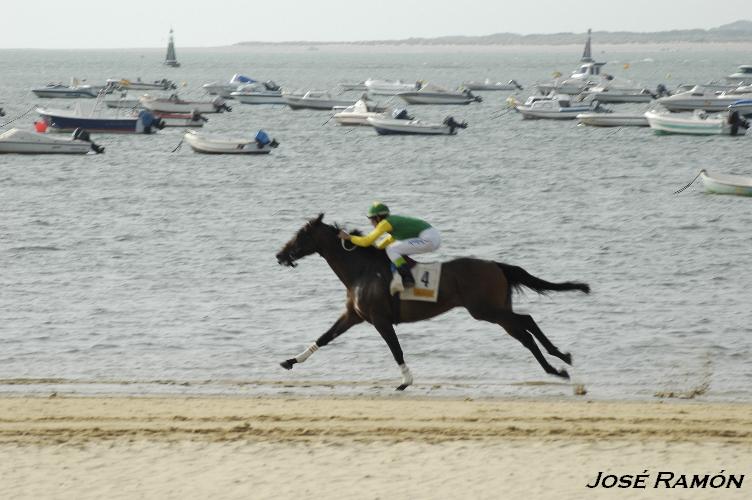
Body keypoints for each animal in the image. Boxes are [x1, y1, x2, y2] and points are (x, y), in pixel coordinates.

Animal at [274, 213, 592, 388]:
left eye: (301, 235)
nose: (279, 254)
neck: (362, 270)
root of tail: (495, 265)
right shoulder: (354, 316)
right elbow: (324, 337)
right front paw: (290, 361)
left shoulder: (380, 319)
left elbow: (396, 350)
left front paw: (406, 381)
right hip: (496, 309)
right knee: (524, 329)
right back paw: (557, 364)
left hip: (486, 310)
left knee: (525, 324)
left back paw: (558, 362)